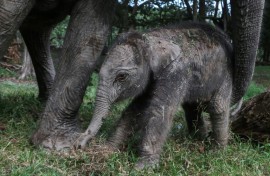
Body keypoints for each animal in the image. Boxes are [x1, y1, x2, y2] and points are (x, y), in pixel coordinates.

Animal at [75, 22, 232, 169]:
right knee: (191, 108)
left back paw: (217, 152)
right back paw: (198, 140)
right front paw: (108, 150)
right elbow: (136, 109)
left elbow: (160, 110)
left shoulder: (177, 71)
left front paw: (142, 167)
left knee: (218, 107)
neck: (151, 38)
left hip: (226, 74)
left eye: (121, 77)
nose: (79, 144)